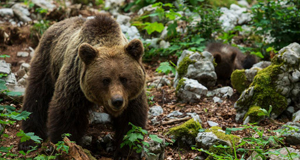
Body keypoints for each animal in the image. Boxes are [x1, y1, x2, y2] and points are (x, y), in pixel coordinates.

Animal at [18, 12, 148, 159]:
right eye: (105, 80)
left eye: (124, 78)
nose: (117, 101)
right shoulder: (75, 84)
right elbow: (66, 115)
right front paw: (64, 147)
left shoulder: (132, 97)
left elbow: (131, 123)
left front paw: (126, 152)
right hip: (47, 62)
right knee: (37, 97)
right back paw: (29, 139)